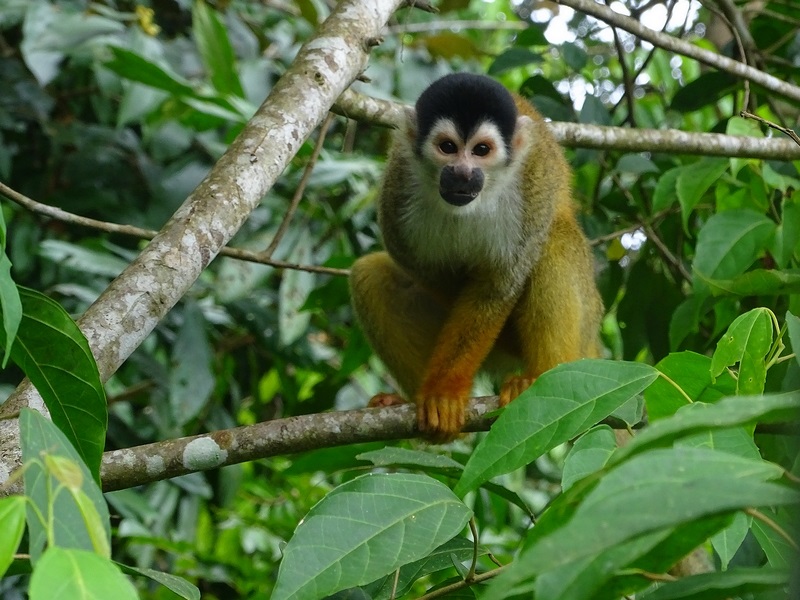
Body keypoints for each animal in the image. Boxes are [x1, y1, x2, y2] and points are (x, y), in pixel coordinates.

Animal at [349, 73, 603, 442]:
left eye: (481, 150)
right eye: (447, 147)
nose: (462, 173)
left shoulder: (531, 188)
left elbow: (495, 286)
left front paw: (443, 391)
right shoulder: (397, 186)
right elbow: (421, 269)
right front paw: (439, 393)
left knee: (554, 241)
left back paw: (543, 378)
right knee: (369, 274)